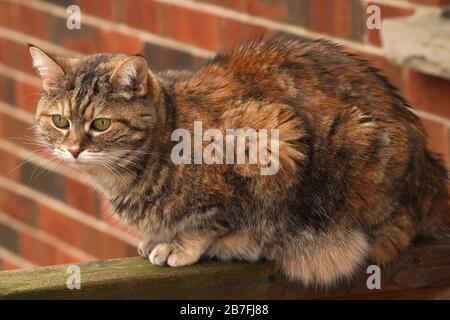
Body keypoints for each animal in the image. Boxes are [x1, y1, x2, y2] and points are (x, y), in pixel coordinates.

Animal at [29, 38, 448, 288]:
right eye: (60, 121)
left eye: (100, 124)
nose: (74, 149)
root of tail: (431, 171)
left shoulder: (268, 139)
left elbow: (214, 219)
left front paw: (181, 244)